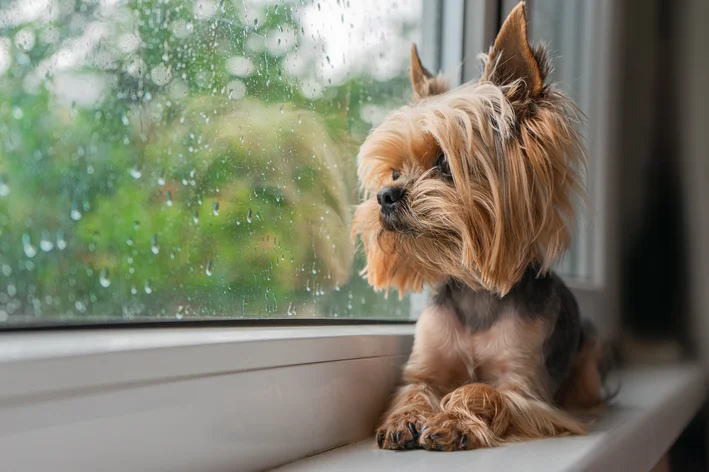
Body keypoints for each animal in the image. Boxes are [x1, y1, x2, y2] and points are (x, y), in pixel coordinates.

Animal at [354, 1, 608, 452]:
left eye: (444, 162)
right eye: (395, 172)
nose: (385, 195)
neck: (475, 291)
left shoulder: (525, 388)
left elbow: (484, 391)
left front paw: (452, 420)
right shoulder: (426, 367)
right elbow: (415, 388)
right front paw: (404, 418)